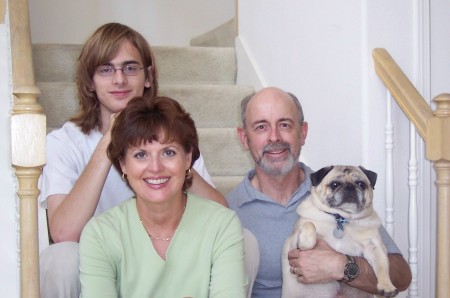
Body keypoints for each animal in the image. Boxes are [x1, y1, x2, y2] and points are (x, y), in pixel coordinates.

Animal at [282, 165, 398, 298]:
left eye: (361, 184)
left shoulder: (374, 248)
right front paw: (306, 242)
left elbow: (382, 266)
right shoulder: (293, 241)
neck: (342, 218)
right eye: (335, 184)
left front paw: (386, 286)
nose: (350, 186)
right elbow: (309, 224)